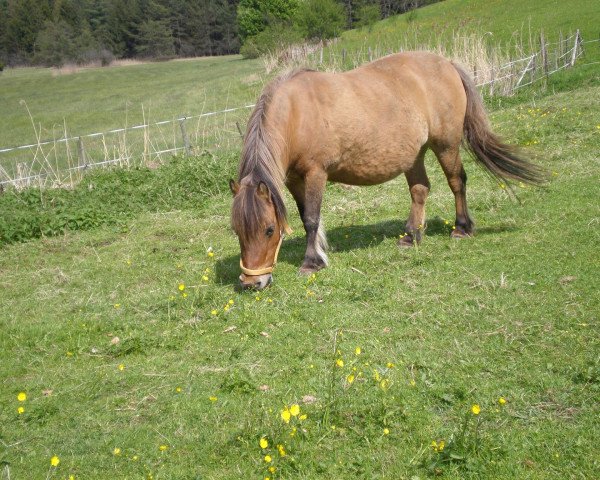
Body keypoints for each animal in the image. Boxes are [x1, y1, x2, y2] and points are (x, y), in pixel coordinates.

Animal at [230, 53, 544, 292]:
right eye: (236, 230)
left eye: (269, 229)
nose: (251, 283)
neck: (297, 114)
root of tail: (447, 64)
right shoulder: (295, 179)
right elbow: (306, 214)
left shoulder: (316, 173)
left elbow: (311, 219)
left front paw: (311, 262)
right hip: (415, 155)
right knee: (420, 190)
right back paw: (411, 236)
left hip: (446, 145)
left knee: (457, 182)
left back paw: (462, 228)